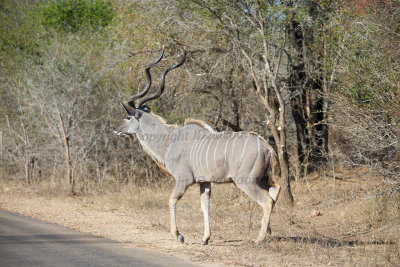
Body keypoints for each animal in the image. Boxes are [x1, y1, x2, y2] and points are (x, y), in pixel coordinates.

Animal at [114, 50, 280, 247]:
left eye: (127, 117)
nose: (115, 128)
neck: (170, 140)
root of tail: (268, 148)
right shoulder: (204, 182)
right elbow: (205, 205)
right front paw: (205, 238)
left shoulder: (183, 180)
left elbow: (171, 200)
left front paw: (179, 235)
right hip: (261, 179)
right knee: (274, 191)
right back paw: (269, 232)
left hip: (246, 181)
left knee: (267, 201)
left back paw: (259, 239)